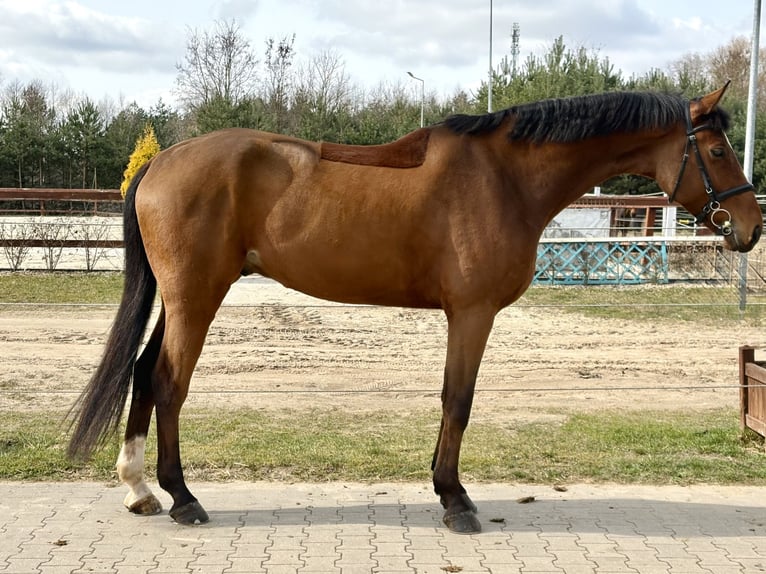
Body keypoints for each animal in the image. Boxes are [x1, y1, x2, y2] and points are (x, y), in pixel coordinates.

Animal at [67, 83, 762, 534]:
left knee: (143, 373)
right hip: (197, 297)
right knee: (167, 382)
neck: (505, 177)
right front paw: (454, 500)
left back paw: (140, 491)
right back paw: (182, 497)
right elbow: (459, 400)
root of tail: (161, 161)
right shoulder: (473, 313)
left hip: (184, 297)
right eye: (718, 151)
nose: (751, 228)